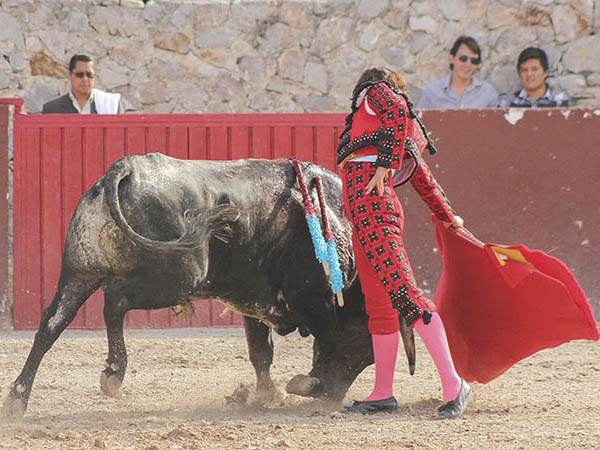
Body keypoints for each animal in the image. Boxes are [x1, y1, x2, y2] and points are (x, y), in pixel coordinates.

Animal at [2, 154, 415, 417]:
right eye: (364, 350)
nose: (331, 399)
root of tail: (127, 168)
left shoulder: (255, 303)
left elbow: (261, 353)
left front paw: (265, 394)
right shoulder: (315, 298)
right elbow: (325, 340)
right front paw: (302, 386)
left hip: (79, 273)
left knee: (52, 323)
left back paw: (18, 400)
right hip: (179, 276)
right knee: (115, 301)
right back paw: (113, 374)